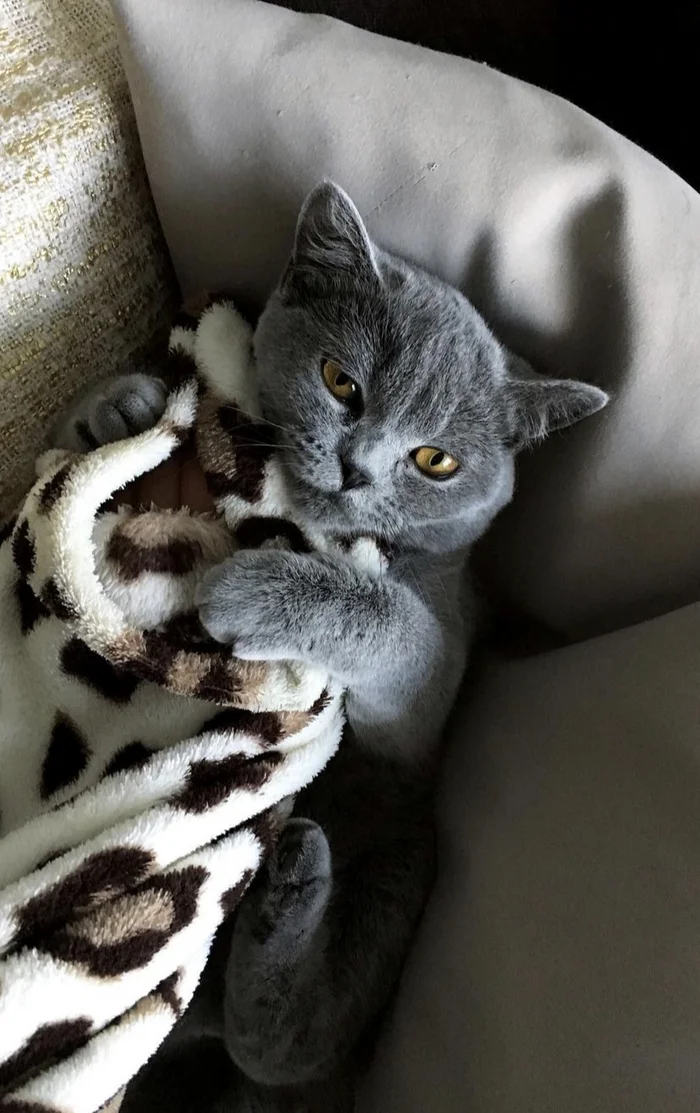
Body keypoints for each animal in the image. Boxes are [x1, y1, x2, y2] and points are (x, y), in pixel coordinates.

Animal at [54, 184, 605, 1113]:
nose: (357, 467)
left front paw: (255, 589)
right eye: (340, 382)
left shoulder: (433, 677)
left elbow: (396, 625)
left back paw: (292, 882)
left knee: (279, 1043)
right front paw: (120, 406)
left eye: (435, 459)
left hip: (398, 867)